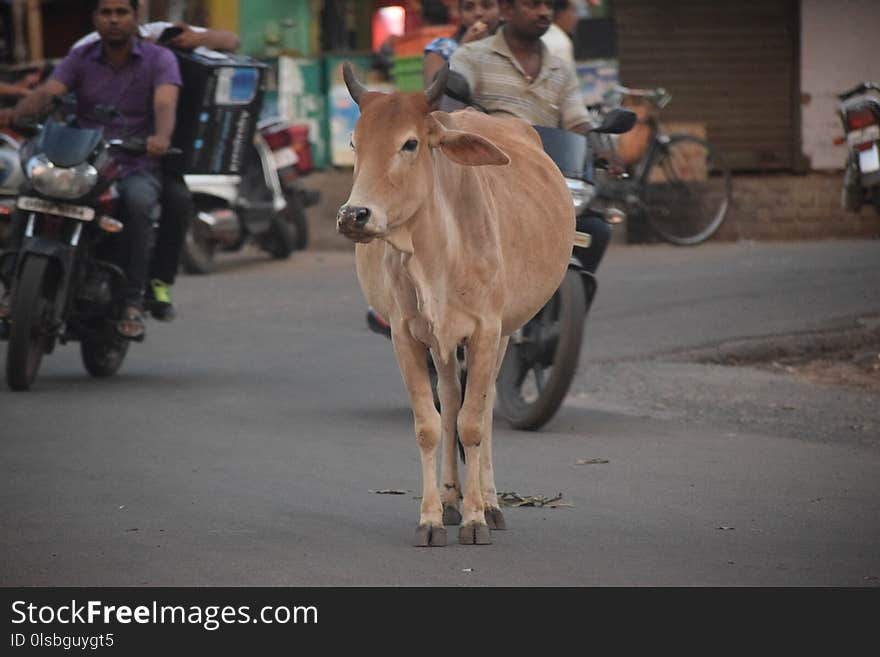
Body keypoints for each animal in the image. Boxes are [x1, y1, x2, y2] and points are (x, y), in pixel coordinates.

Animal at [336, 64, 572, 544]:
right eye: (355, 143)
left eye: (410, 143)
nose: (354, 215)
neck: (436, 249)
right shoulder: (406, 335)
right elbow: (430, 425)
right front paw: (430, 518)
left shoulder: (486, 330)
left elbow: (473, 423)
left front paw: (476, 518)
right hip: (441, 342)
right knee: (448, 397)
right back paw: (449, 500)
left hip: (504, 332)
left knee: (481, 407)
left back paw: (491, 504)